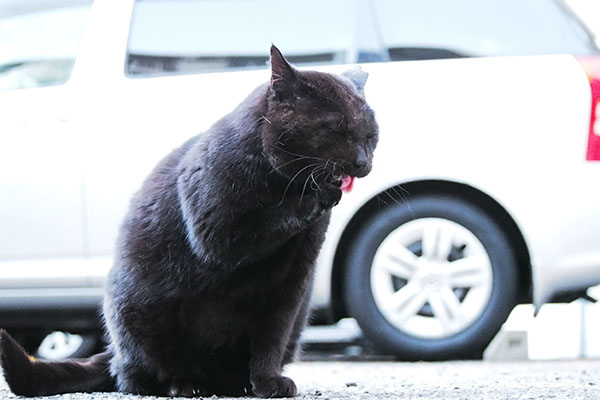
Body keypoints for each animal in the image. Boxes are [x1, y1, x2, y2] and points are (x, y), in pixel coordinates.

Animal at [0, 46, 378, 396]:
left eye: (372, 135)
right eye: (337, 128)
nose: (363, 162)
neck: (281, 182)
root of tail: (112, 355)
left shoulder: (292, 283)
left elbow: (271, 338)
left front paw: (267, 382)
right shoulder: (216, 231)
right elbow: (268, 220)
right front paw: (319, 194)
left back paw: (235, 383)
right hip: (137, 309)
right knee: (137, 377)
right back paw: (186, 384)